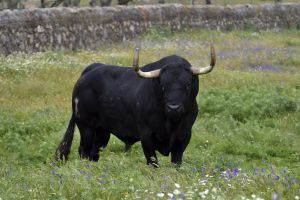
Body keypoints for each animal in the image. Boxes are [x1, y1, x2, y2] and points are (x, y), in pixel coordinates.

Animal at [55, 46, 216, 166]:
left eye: (187, 85)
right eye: (163, 86)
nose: (174, 108)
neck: (171, 122)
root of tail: (91, 69)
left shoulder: (184, 136)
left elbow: (176, 162)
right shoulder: (146, 136)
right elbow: (152, 162)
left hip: (102, 130)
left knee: (94, 153)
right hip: (86, 126)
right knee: (84, 152)